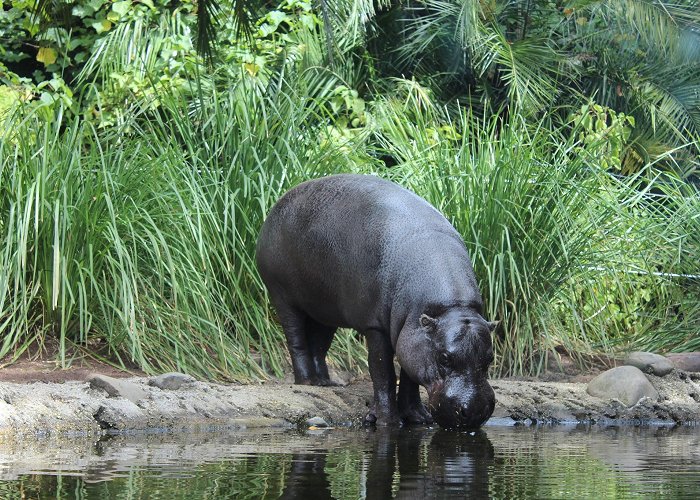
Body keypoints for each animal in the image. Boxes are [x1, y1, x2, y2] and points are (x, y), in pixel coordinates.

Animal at [258, 174, 498, 428]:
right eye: (444, 357)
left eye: (490, 358)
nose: (475, 411)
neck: (450, 308)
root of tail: (277, 204)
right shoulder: (376, 327)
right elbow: (383, 372)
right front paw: (387, 421)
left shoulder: (411, 333)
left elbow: (409, 376)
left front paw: (417, 418)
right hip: (283, 296)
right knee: (296, 340)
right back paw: (306, 382)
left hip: (324, 307)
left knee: (318, 343)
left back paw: (324, 382)